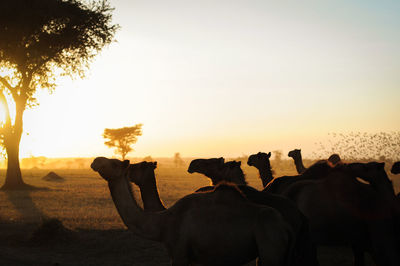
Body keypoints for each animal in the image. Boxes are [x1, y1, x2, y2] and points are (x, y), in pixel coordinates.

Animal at [92, 157, 296, 264]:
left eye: (113, 163)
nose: (95, 160)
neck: (162, 223)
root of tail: (285, 224)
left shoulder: (179, 254)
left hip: (270, 249)